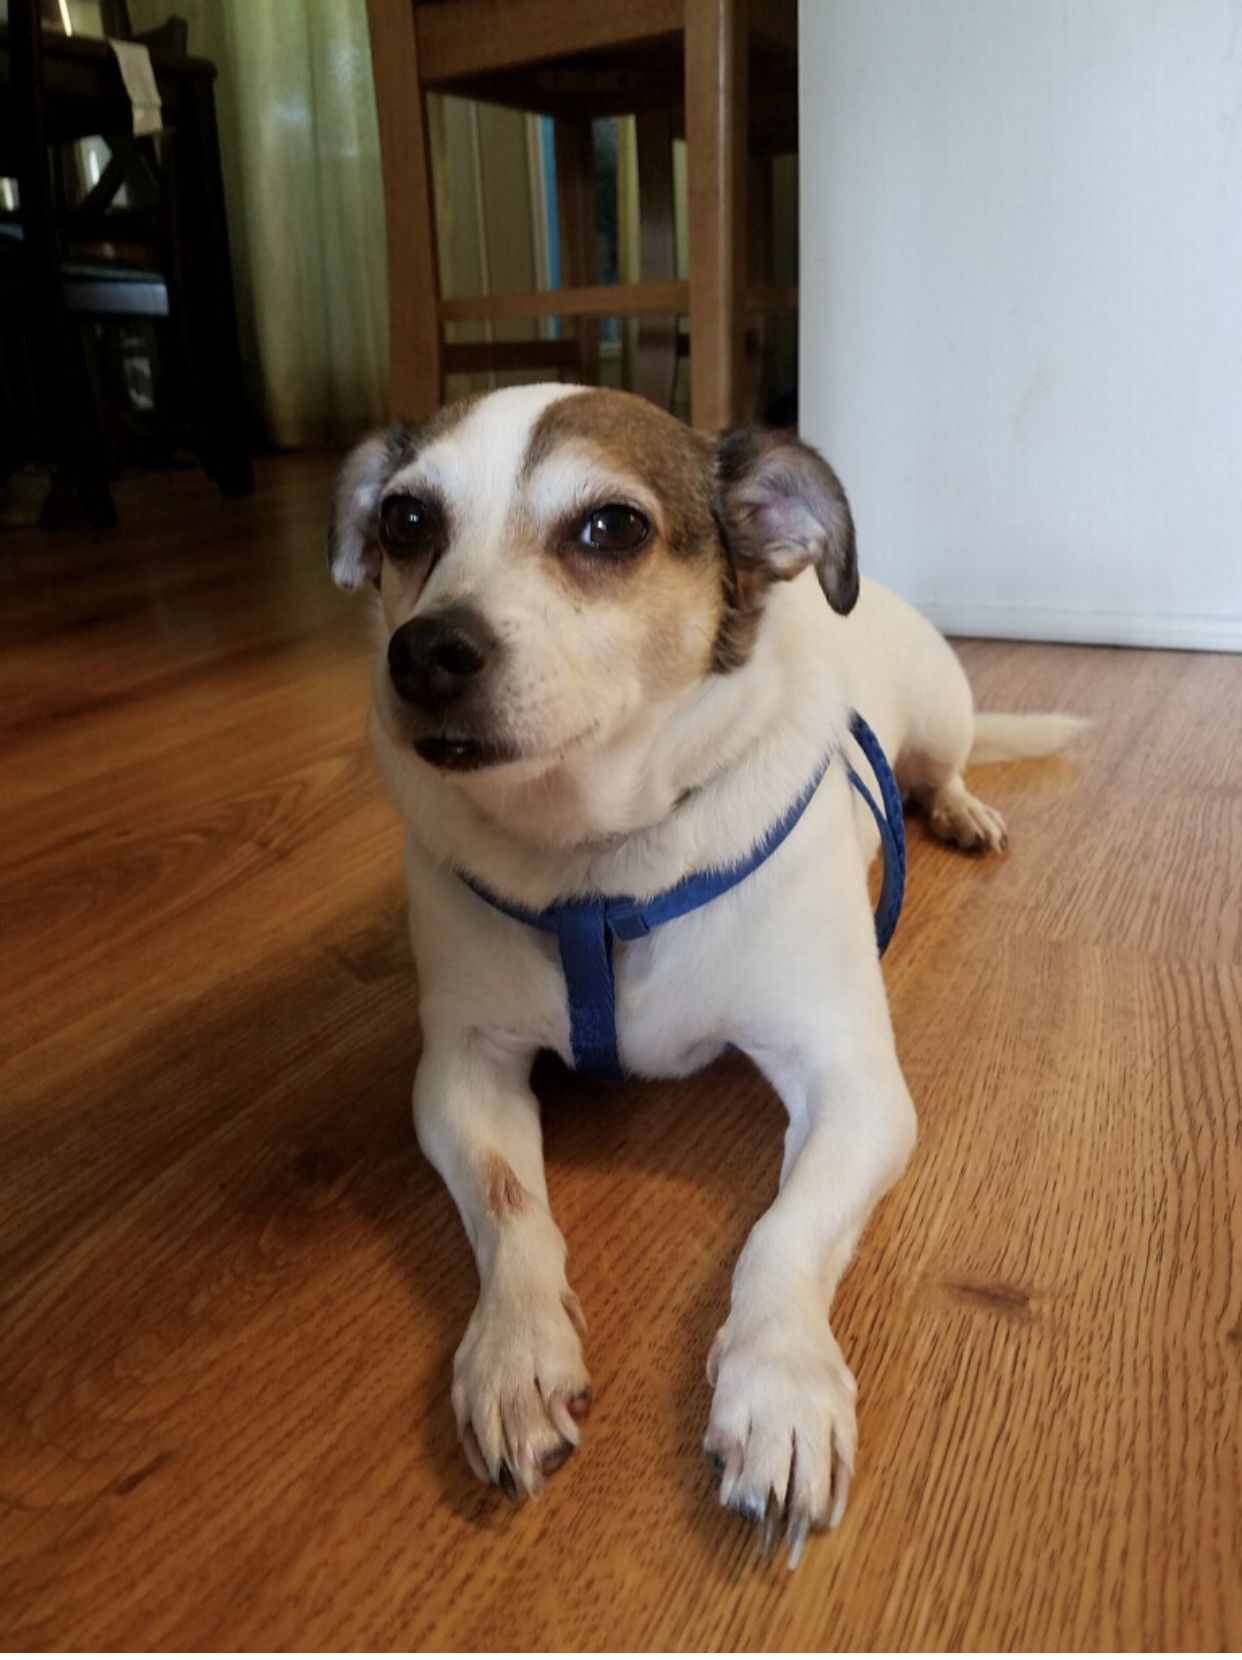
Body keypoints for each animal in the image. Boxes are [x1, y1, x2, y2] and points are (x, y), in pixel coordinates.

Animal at [325, 381, 1082, 1560]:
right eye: (406, 520)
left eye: (610, 527)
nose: (425, 651)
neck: (599, 861)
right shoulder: (461, 1068)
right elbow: (506, 1205)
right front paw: (514, 1353)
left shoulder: (853, 1085)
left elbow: (783, 1234)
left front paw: (780, 1390)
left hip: (942, 711)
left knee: (942, 767)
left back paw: (962, 810)